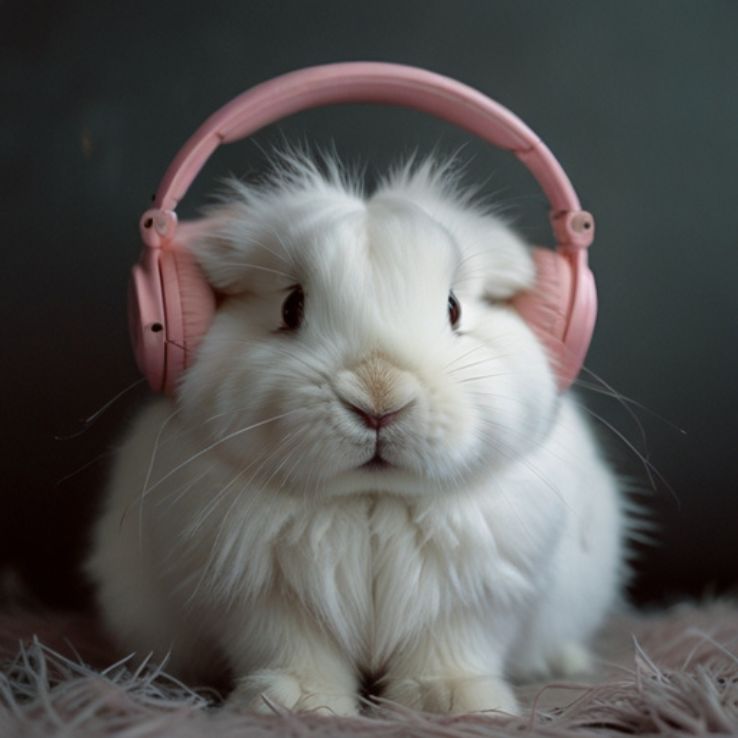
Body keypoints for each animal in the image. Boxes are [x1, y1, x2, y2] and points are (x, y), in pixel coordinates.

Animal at [86, 153, 626, 716]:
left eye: (453, 308)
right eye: (291, 308)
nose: (378, 400)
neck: (371, 498)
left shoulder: (475, 596)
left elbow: (451, 648)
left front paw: (452, 702)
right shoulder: (260, 596)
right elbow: (292, 649)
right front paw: (297, 705)